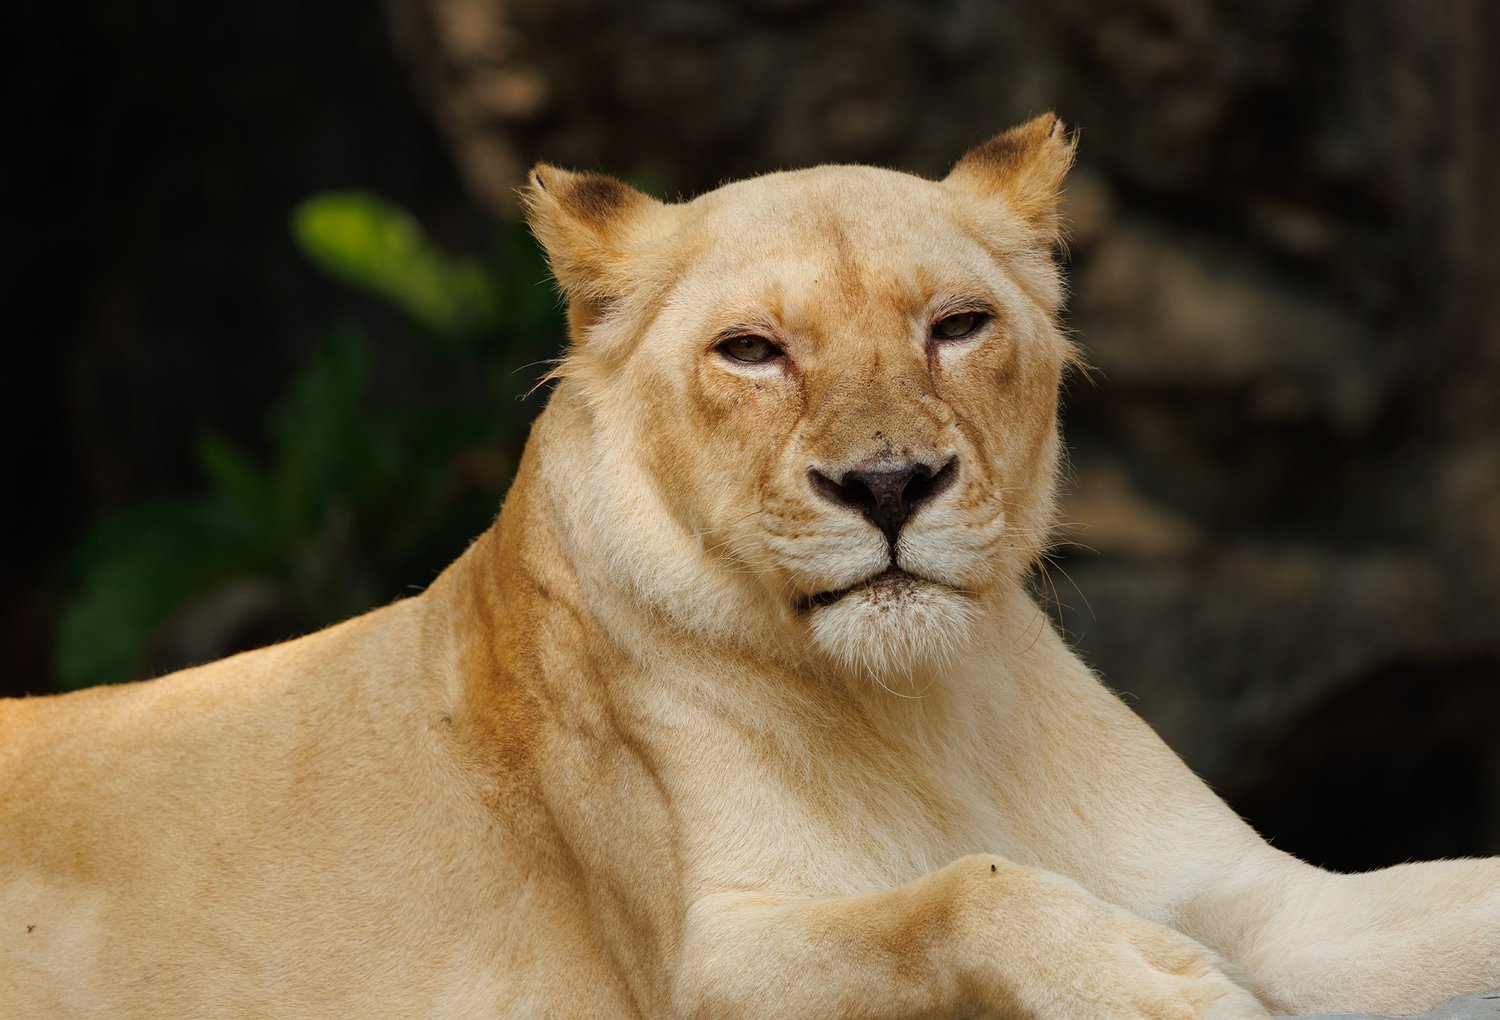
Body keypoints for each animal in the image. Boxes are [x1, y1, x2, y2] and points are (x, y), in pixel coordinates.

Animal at [2, 114, 1497, 1019]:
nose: (888, 486)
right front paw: (1153, 981)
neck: (926, 712)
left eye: (957, 325)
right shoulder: (702, 965)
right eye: (753, 351)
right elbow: (962, 892)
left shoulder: (1265, 893)